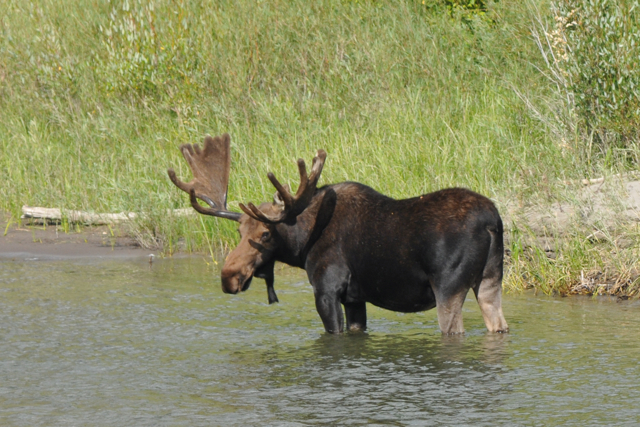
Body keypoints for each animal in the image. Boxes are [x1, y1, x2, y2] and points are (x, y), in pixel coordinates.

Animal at [168, 135, 508, 336]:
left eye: (265, 234)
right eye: (239, 231)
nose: (229, 277)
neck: (302, 245)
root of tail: (492, 220)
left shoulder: (327, 289)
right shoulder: (355, 299)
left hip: (448, 287)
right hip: (491, 280)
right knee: (498, 325)